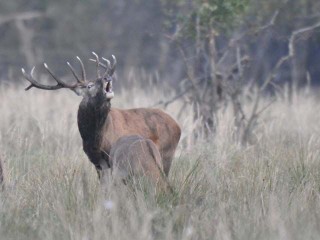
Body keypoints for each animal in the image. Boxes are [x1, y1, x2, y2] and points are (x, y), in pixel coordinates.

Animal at [21, 53, 182, 176]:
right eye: (89, 85)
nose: (107, 78)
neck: (95, 138)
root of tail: (177, 126)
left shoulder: (113, 158)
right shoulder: (96, 161)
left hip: (166, 153)